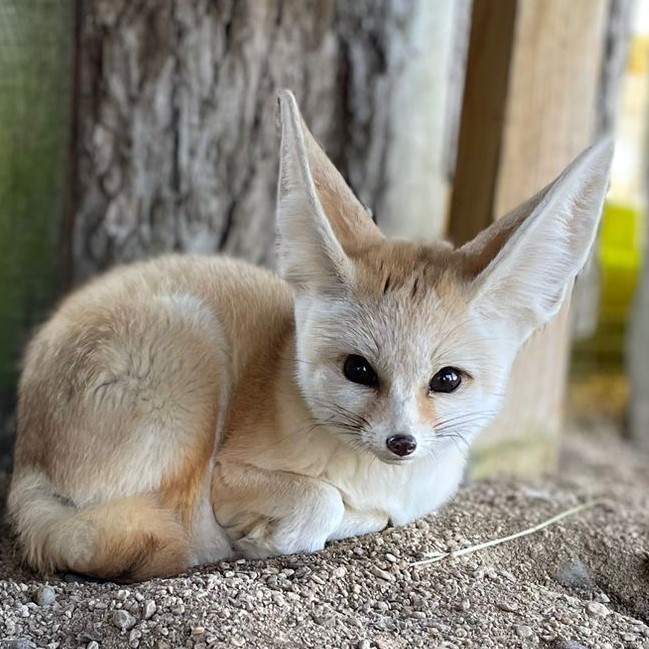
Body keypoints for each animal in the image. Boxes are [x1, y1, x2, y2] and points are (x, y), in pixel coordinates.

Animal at [7, 90, 612, 582]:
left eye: (447, 380)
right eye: (358, 370)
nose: (402, 442)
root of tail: (24, 459)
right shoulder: (226, 472)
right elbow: (321, 502)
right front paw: (277, 533)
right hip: (194, 352)